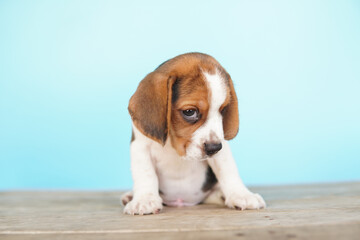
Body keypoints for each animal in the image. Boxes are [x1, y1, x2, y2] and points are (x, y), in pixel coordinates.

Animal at [122, 53, 266, 216]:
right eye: (190, 112)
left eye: (223, 110)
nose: (214, 148)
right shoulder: (140, 146)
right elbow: (145, 173)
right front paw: (145, 199)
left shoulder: (222, 148)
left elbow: (228, 170)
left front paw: (242, 195)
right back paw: (130, 195)